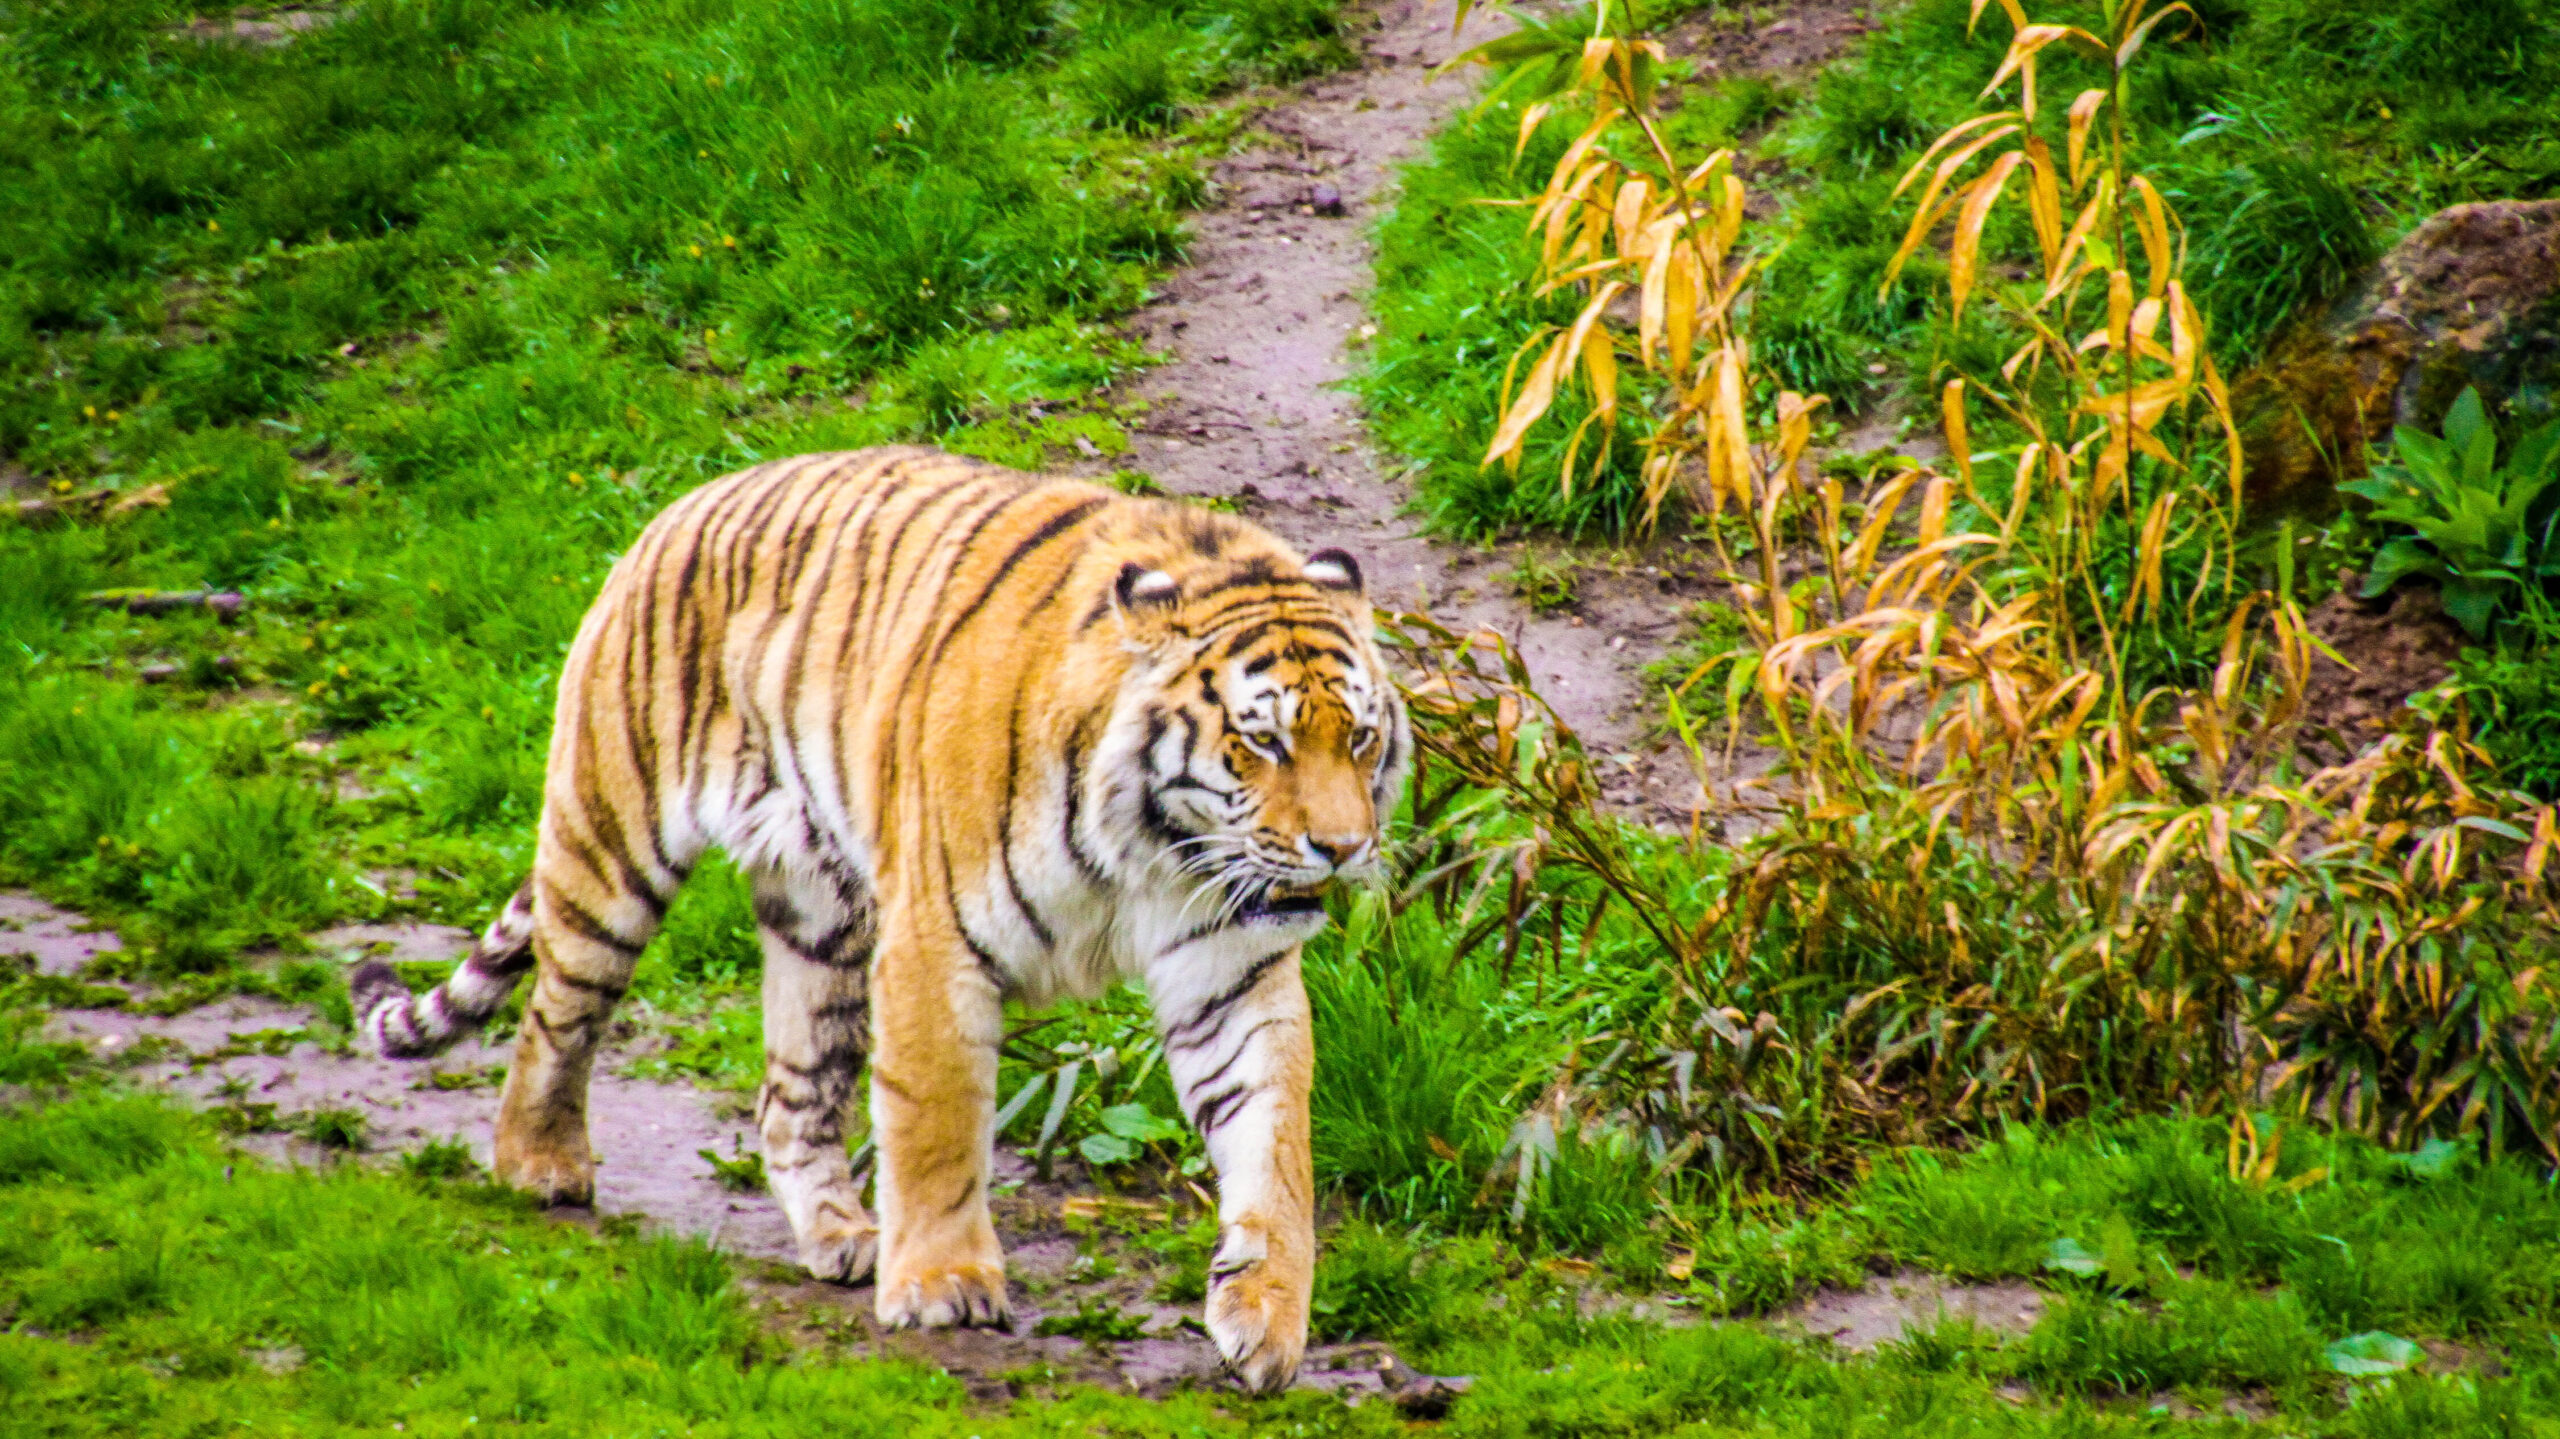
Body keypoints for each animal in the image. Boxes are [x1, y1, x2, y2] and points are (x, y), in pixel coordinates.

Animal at [350, 446, 1410, 1392]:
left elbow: (1273, 1144)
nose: (1343, 847)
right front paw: (945, 1285)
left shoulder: (1232, 963)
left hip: (820, 922)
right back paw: (539, 1163)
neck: (1153, 847)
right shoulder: (939, 940)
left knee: (789, 1094)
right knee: (555, 1015)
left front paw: (1265, 1318)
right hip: (613, 845)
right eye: (1263, 742)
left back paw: (844, 1236)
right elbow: (937, 1121)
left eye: (1360, 737)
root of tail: (678, 504)